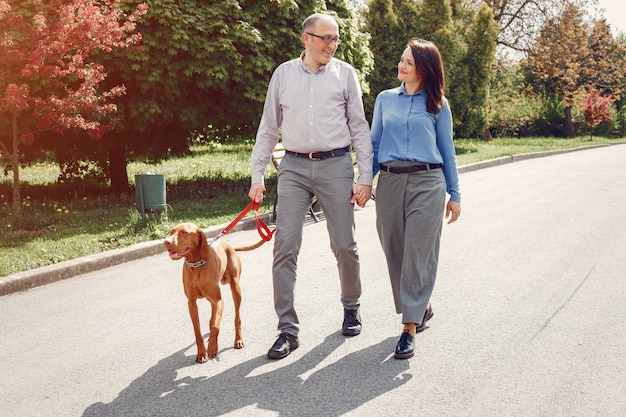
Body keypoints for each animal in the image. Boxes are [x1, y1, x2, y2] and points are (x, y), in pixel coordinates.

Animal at [162, 223, 262, 362]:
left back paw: (238, 340)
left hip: (236, 290)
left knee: (236, 318)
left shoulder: (220, 300)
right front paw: (201, 353)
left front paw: (213, 348)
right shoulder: (191, 303)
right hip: (212, 298)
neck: (196, 265)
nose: (166, 242)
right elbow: (198, 331)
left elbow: (216, 327)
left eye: (184, 233)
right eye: (172, 232)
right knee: (212, 318)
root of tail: (229, 245)